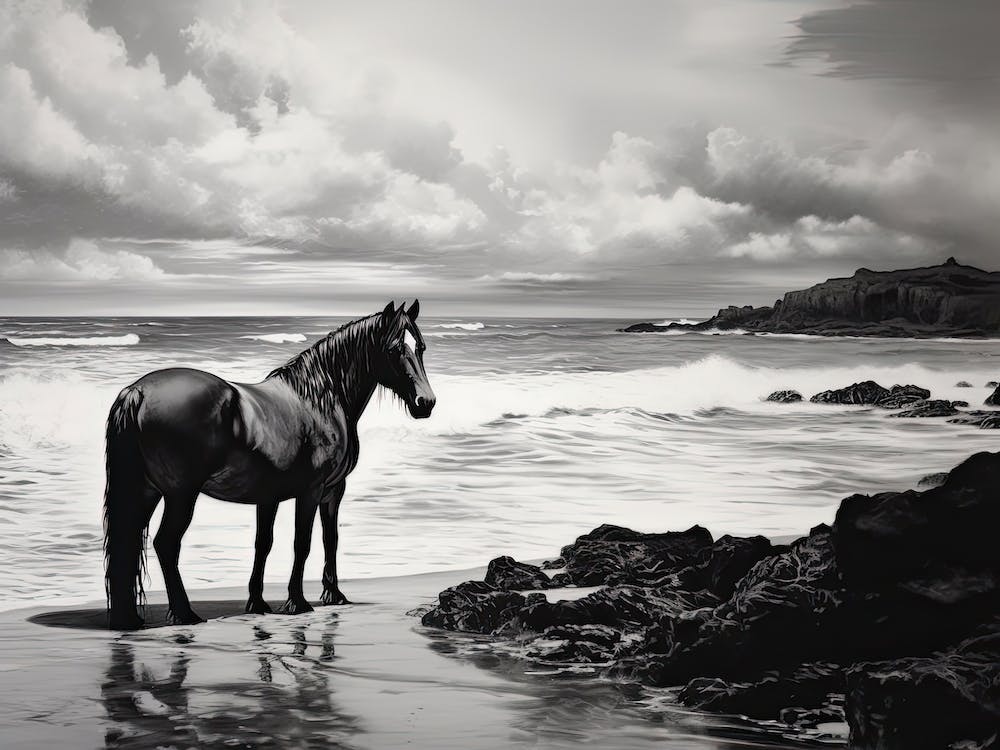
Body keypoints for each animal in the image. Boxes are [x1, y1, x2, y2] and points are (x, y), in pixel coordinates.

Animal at [103, 300, 435, 629]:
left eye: (420, 347)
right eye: (394, 349)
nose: (426, 403)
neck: (320, 400)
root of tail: (138, 391)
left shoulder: (276, 496)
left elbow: (276, 543)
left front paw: (268, 602)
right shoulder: (317, 490)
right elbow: (304, 542)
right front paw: (298, 602)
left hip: (146, 491)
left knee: (128, 542)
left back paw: (130, 618)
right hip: (181, 495)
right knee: (166, 543)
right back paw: (185, 614)